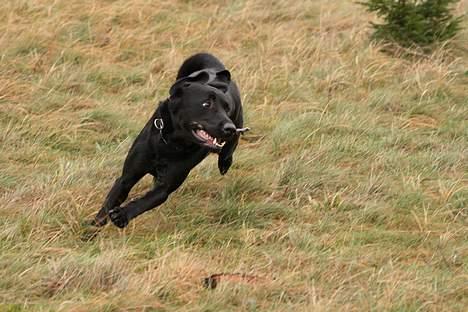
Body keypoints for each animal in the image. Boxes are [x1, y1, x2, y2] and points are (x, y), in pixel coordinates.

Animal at [89, 53, 247, 229]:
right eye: (206, 104)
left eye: (226, 108)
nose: (229, 128)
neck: (170, 143)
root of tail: (214, 68)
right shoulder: (127, 177)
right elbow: (108, 203)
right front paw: (91, 229)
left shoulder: (165, 187)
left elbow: (143, 202)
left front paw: (122, 215)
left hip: (238, 121)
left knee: (231, 145)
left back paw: (224, 161)